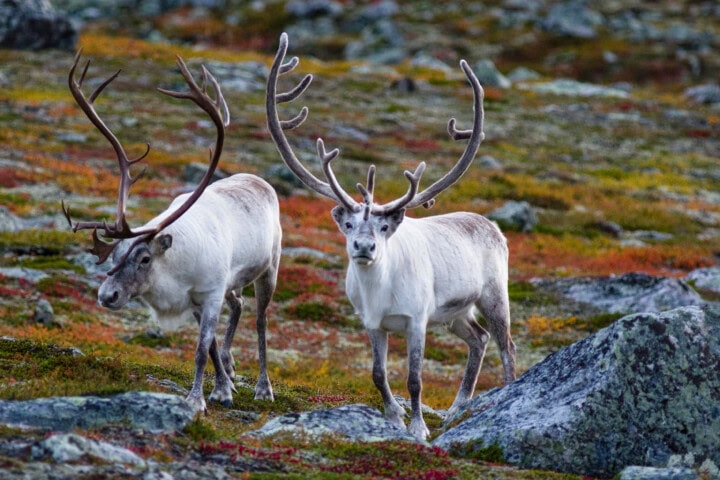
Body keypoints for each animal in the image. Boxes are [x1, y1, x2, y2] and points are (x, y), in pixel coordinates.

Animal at [62, 51, 281, 414]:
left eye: (145, 258)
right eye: (116, 253)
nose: (107, 295)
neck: (176, 269)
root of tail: (259, 180)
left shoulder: (210, 293)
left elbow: (200, 349)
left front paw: (196, 400)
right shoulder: (197, 300)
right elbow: (209, 346)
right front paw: (222, 388)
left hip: (269, 268)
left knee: (261, 320)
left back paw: (264, 388)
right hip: (233, 283)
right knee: (237, 305)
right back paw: (231, 367)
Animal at [266, 33, 516, 440]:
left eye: (383, 228)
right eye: (349, 225)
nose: (365, 247)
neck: (379, 292)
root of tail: (494, 227)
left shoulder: (417, 320)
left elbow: (414, 379)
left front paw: (417, 428)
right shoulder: (371, 323)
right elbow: (378, 374)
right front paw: (394, 418)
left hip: (494, 294)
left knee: (505, 344)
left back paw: (506, 392)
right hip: (454, 312)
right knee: (478, 338)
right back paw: (456, 408)